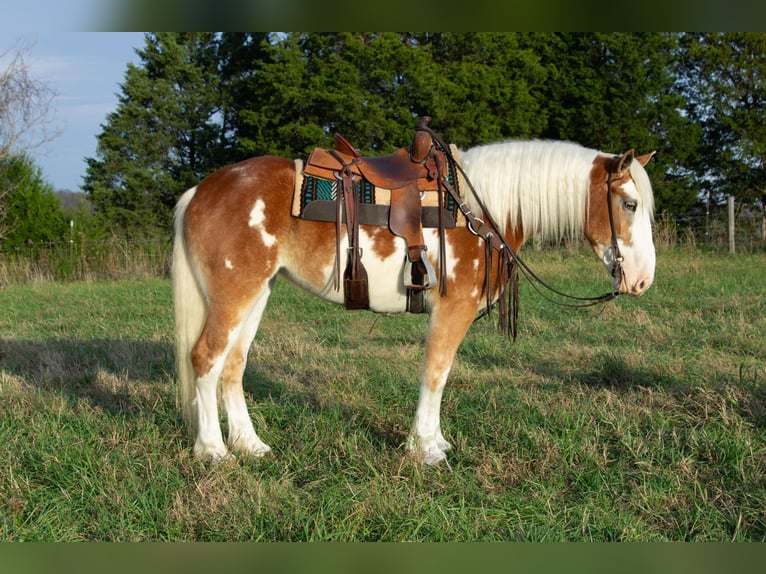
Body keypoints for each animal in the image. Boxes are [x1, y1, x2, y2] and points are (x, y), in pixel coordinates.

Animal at [172, 138, 656, 466]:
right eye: (629, 204)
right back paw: (213, 451)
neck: (480, 210)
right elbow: (436, 372)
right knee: (206, 359)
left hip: (257, 293)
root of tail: (200, 190)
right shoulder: (452, 308)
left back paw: (250, 445)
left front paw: (432, 441)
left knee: (233, 366)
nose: (643, 280)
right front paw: (426, 448)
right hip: (235, 295)